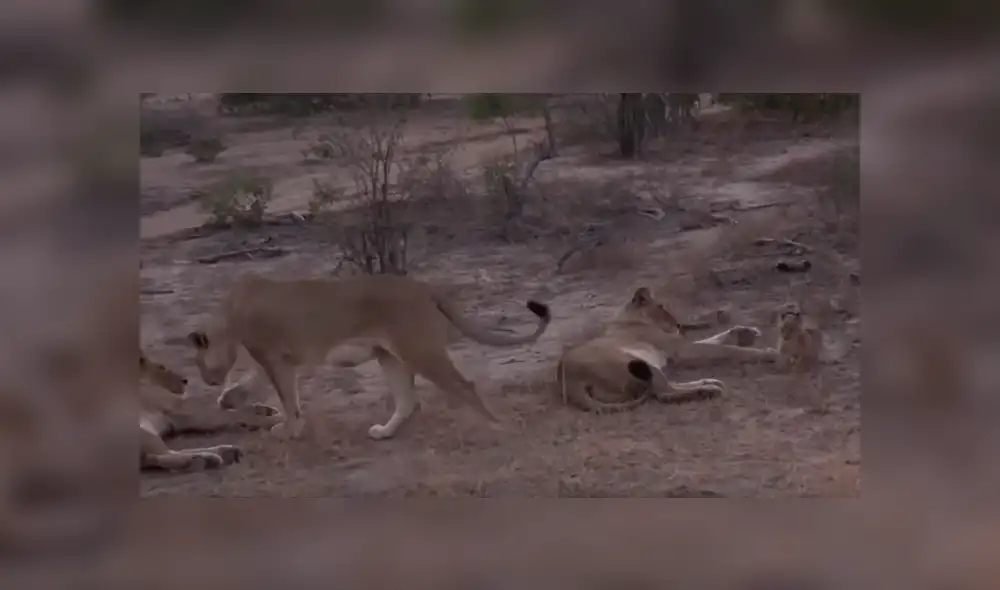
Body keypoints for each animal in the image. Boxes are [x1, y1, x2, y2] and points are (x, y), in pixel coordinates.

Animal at [139, 350, 279, 472]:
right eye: (161, 367)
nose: (185, 380)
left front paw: (265, 410)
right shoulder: (184, 411)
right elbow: (232, 414)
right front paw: (273, 419)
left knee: (154, 457)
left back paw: (226, 453)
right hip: (145, 431)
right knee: (162, 455)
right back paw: (208, 459)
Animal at [186, 273, 552, 441]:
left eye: (198, 362)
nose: (207, 379)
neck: (230, 317)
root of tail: (422, 286)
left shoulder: (274, 357)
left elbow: (289, 399)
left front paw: (289, 429)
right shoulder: (275, 359)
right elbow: (251, 385)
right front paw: (228, 400)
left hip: (419, 349)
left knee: (464, 386)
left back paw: (496, 428)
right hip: (389, 356)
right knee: (408, 401)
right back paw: (384, 432)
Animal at [557, 287, 780, 413]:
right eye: (662, 307)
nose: (679, 325)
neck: (630, 317)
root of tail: (568, 380)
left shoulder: (678, 347)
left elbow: (715, 339)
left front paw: (746, 332)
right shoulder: (681, 349)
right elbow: (727, 350)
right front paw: (768, 352)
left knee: (667, 385)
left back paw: (709, 382)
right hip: (633, 362)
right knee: (664, 392)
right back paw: (707, 390)